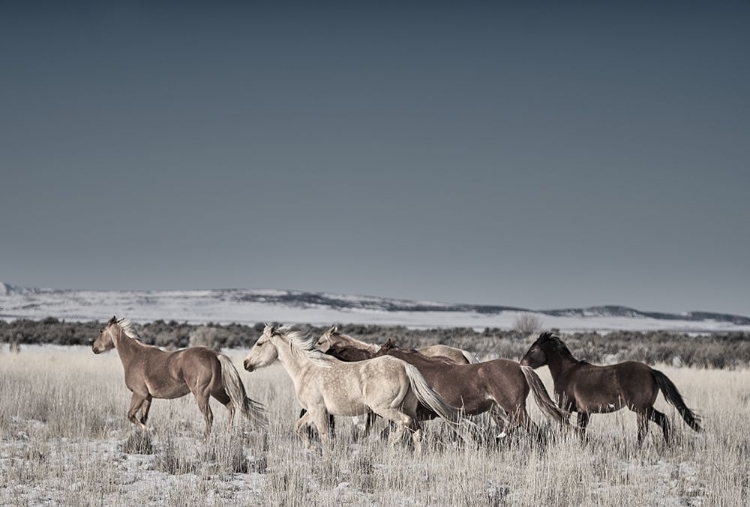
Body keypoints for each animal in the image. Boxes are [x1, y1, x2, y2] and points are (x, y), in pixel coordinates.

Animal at [91, 316, 268, 438]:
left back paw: (205, 440)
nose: (94, 348)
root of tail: (215, 355)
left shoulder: (139, 394)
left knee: (209, 416)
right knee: (230, 406)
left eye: (101, 331)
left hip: (201, 394)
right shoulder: (148, 397)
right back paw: (227, 433)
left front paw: (150, 431)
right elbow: (142, 418)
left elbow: (131, 416)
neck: (135, 356)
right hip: (216, 391)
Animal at [244, 324, 464, 454]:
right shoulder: (314, 410)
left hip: (386, 409)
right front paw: (310, 447)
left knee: (404, 424)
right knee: (417, 431)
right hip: (408, 408)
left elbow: (324, 436)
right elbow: (299, 427)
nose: (246, 364)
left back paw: (391, 444)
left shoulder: (318, 411)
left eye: (260, 343)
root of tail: (405, 366)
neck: (307, 368)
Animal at [520, 334, 704, 444]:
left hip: (641, 408)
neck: (566, 372)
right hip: (641, 410)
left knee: (658, 422)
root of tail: (651, 371)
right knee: (647, 427)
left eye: (534, 348)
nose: (522, 363)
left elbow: (564, 427)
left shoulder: (565, 407)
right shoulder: (584, 412)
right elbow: (581, 431)